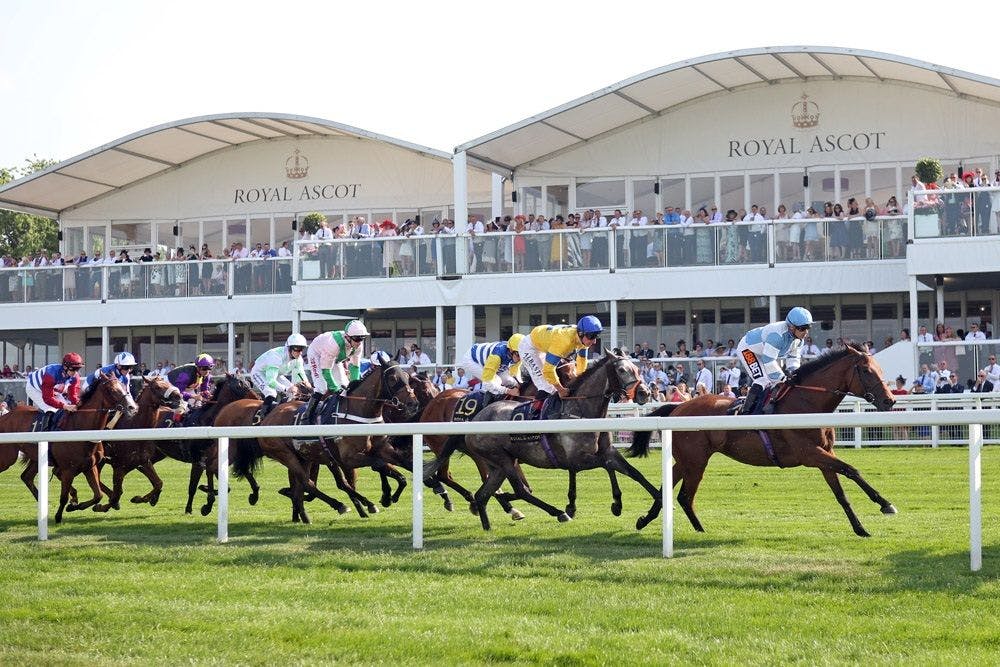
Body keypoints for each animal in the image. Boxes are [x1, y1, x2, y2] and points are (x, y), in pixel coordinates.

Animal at [0, 374, 138, 524]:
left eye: (125, 386)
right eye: (112, 390)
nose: (132, 407)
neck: (80, 428)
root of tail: (5, 416)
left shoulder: (90, 467)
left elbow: (98, 495)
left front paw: (75, 506)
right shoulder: (68, 469)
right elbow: (64, 496)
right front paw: (60, 515)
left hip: (36, 458)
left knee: (26, 477)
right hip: (7, 458)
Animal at [464, 350, 660, 532]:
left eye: (637, 369)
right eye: (622, 370)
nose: (645, 393)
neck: (581, 410)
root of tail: (476, 419)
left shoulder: (607, 451)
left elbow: (634, 473)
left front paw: (647, 513)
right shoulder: (577, 460)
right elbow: (608, 465)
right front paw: (616, 504)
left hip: (498, 465)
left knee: (482, 495)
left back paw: (487, 526)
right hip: (503, 459)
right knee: (521, 490)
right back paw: (558, 513)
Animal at [624, 342, 900, 540]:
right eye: (866, 371)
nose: (890, 401)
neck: (806, 403)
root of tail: (678, 408)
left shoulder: (824, 455)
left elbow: (841, 493)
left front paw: (860, 528)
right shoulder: (810, 454)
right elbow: (851, 469)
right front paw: (885, 504)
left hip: (687, 460)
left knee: (668, 490)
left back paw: (647, 521)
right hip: (695, 460)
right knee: (684, 496)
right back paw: (697, 530)